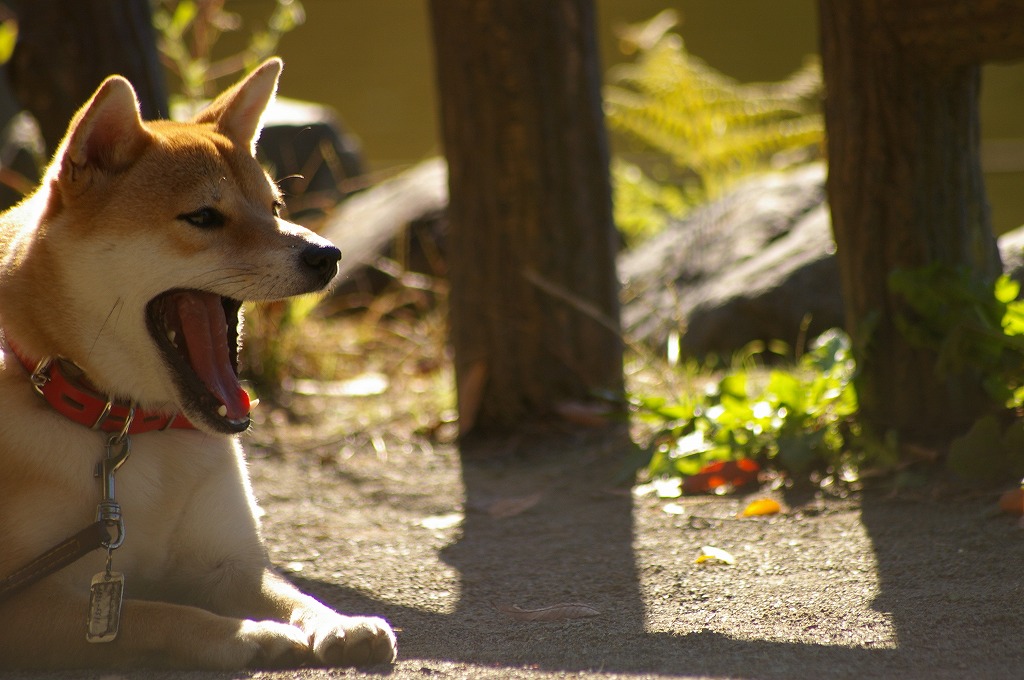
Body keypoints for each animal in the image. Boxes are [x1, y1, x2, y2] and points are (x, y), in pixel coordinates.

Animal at [0, 59, 395, 667]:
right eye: (204, 217)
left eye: (275, 208)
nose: (327, 254)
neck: (128, 429)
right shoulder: (27, 604)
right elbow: (155, 614)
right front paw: (253, 636)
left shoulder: (227, 564)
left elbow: (291, 593)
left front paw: (338, 621)